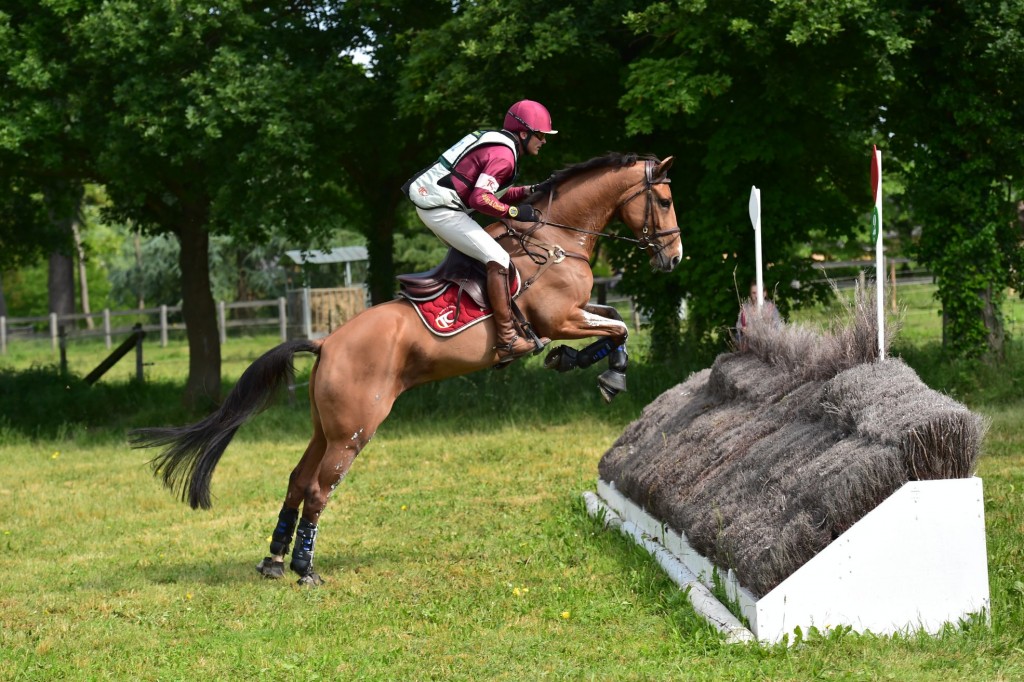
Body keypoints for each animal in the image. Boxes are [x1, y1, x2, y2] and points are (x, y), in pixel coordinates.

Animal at [134, 152, 679, 585]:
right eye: (665, 201)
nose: (673, 258)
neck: (556, 236)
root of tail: (327, 342)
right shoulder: (560, 317)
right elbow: (618, 328)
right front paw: (608, 375)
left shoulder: (576, 312)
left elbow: (615, 319)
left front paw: (579, 363)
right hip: (355, 430)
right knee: (318, 489)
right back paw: (305, 570)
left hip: (325, 429)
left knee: (296, 480)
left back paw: (273, 561)